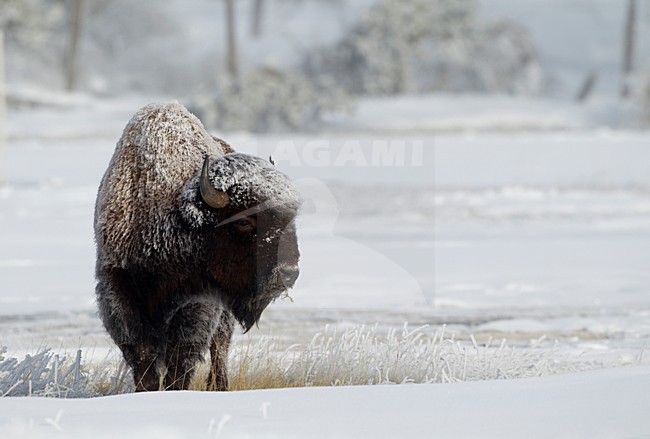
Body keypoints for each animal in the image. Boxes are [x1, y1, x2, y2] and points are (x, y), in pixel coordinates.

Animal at [94, 103, 300, 391]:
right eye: (244, 221)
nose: (289, 272)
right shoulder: (117, 287)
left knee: (219, 348)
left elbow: (181, 355)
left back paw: (219, 386)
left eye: (290, 218)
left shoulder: (197, 302)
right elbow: (141, 352)